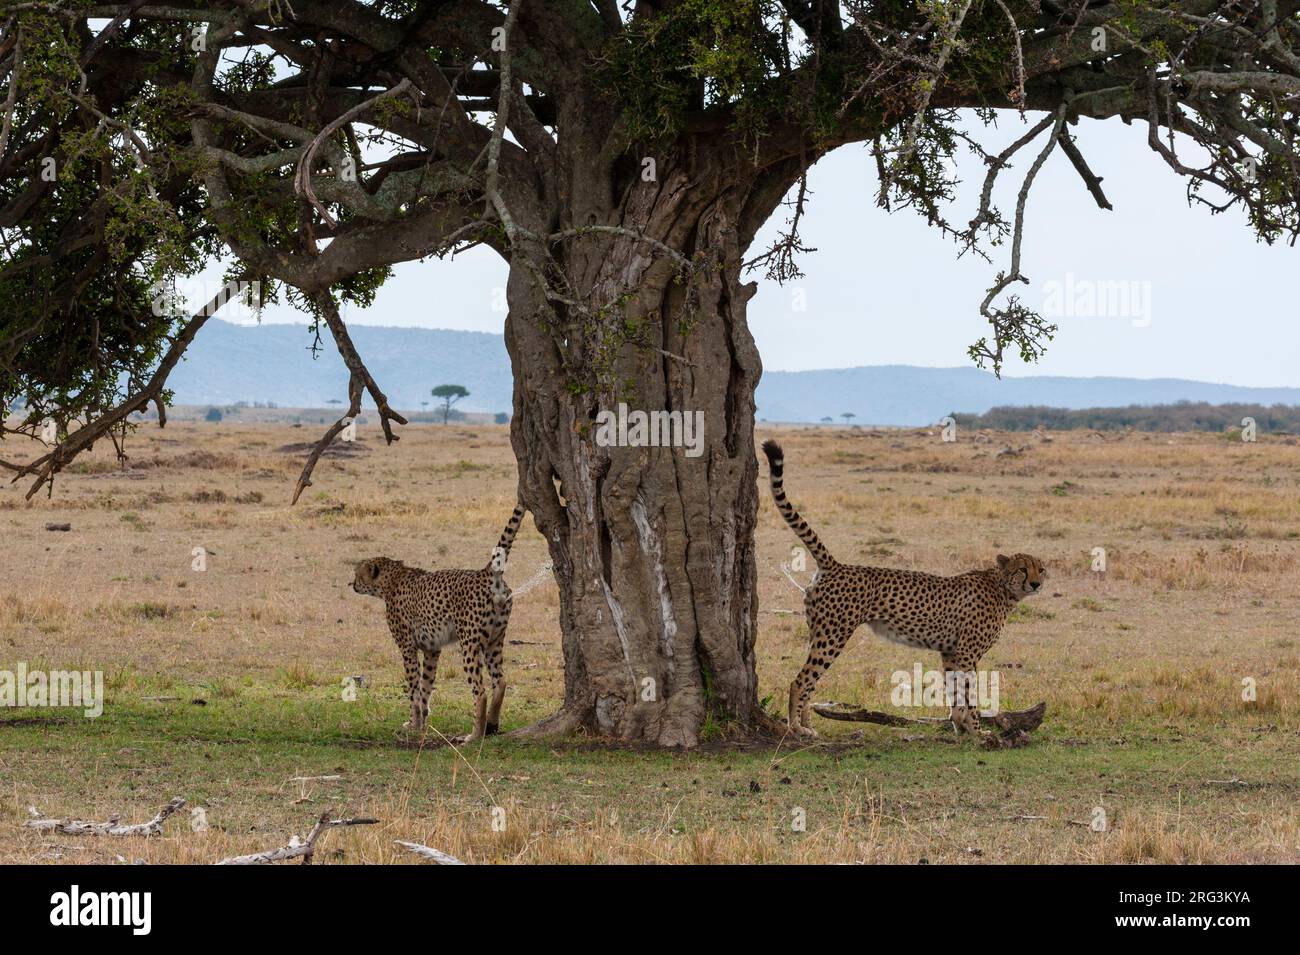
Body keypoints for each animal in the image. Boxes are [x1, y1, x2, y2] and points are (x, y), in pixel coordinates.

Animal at [351, 504, 527, 743]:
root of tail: (486, 572)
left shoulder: (407, 647)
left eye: (357, 574)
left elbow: (413, 689)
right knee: (500, 682)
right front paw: (422, 721)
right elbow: (425, 686)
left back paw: (474, 736)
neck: (391, 579)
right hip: (495, 639)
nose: (352, 584)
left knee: (480, 691)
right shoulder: (432, 648)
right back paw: (491, 725)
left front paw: (414, 723)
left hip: (469, 644)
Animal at [759, 444, 1045, 743]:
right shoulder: (967, 653)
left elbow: (955, 693)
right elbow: (970, 695)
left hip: (819, 632)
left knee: (810, 682)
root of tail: (836, 565)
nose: (1036, 584)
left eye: (1042, 569)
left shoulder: (951, 653)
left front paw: (961, 728)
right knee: (799, 681)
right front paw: (978, 732)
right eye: (1023, 569)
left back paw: (807, 725)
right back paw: (794, 727)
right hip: (833, 635)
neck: (1004, 590)